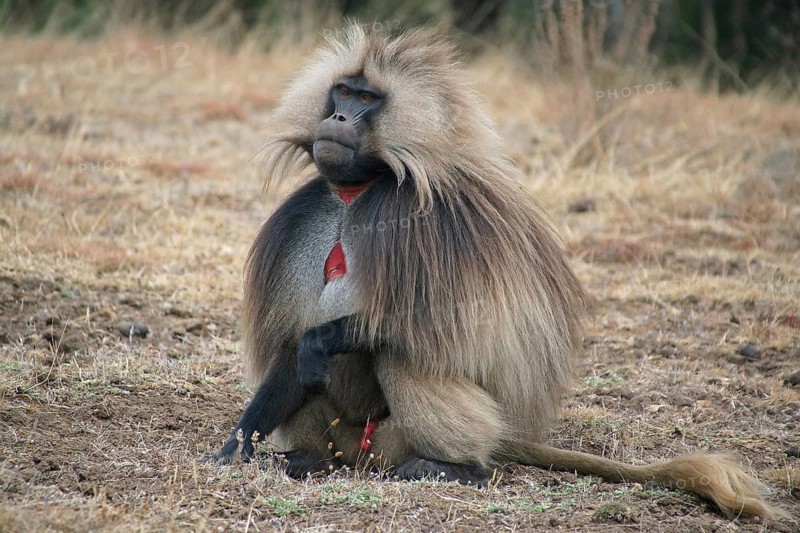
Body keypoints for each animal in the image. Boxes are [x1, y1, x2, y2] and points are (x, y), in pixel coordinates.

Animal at [215, 24, 784, 521]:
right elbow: (289, 349)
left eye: (366, 99)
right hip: (346, 445)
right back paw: (307, 459)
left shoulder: (424, 225)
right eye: (341, 90)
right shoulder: (304, 225)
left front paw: (322, 341)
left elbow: (430, 323)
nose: (336, 115)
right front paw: (232, 451)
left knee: (403, 354)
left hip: (399, 440)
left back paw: (457, 468)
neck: (358, 194)